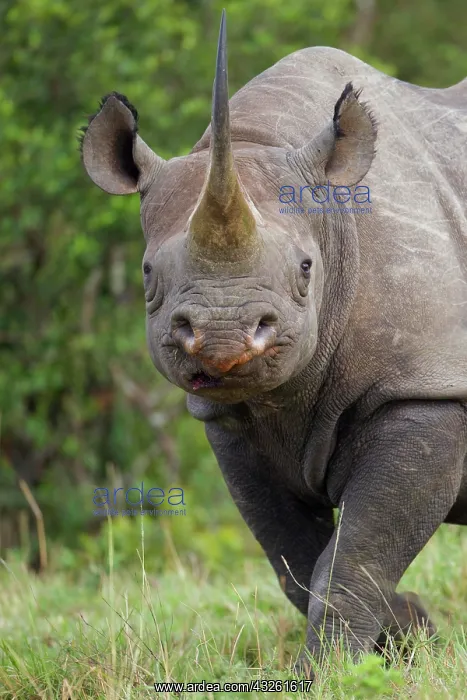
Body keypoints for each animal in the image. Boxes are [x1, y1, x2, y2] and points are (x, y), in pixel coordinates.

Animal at [81, 10, 467, 675]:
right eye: (148, 275)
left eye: (307, 269)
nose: (223, 335)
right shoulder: (230, 419)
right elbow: (299, 566)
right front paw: (413, 637)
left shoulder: (425, 387)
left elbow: (353, 560)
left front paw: (327, 675)